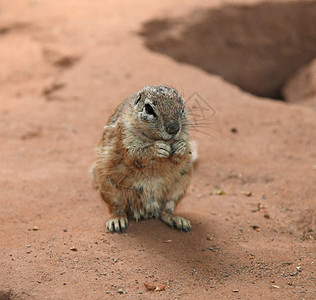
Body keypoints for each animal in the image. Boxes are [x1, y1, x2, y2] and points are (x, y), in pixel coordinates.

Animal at [94, 85, 194, 233]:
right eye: (149, 109)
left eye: (182, 107)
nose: (174, 129)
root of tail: (147, 211)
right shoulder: (125, 136)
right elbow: (135, 155)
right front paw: (157, 149)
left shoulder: (185, 134)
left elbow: (183, 154)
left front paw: (181, 146)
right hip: (110, 189)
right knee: (118, 209)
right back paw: (117, 221)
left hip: (178, 187)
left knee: (166, 210)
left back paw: (177, 220)